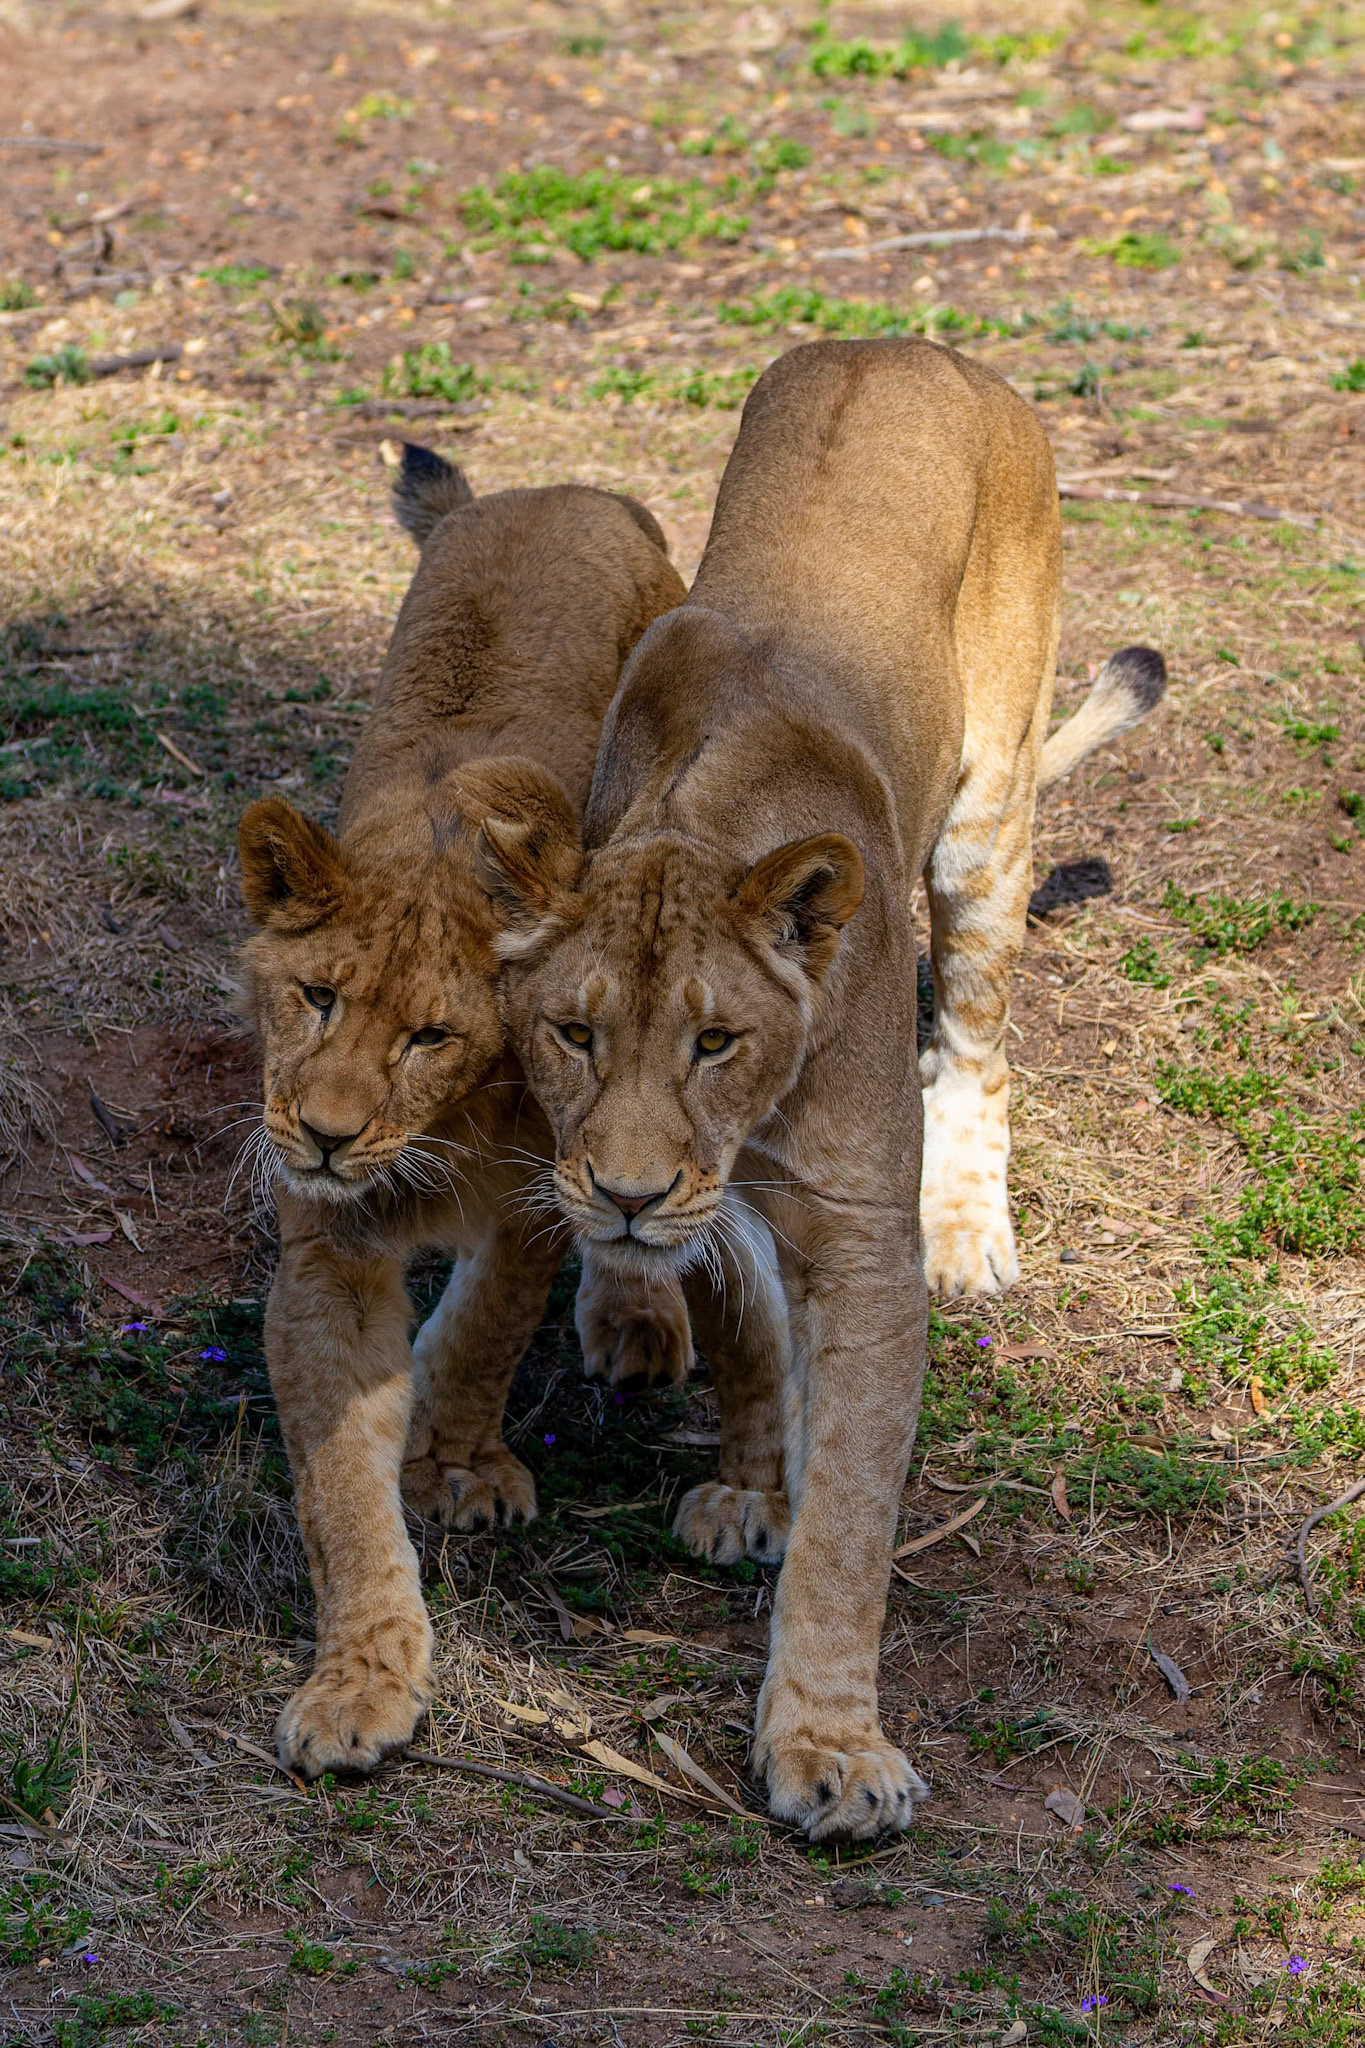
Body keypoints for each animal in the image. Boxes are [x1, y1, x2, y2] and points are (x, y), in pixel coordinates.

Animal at [236, 445, 709, 1779]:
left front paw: (451, 1460)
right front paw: (362, 1674)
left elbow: (489, 1327)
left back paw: (637, 1312)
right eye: (317, 996)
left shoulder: (537, 1200)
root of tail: (568, 490)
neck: (428, 1142)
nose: (326, 1133)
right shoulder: (328, 1252)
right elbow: (339, 1483)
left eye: (431, 1037)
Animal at [454, 338, 1166, 1838]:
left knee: (979, 1040)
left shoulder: (855, 1245)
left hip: (987, 818)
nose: (625, 1192)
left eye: (716, 1040)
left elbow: (850, 1517)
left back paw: (972, 1226)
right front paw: (725, 1443)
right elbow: (728, 1314)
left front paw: (829, 1745)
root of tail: (914, 345)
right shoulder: (677, 1186)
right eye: (573, 1033)